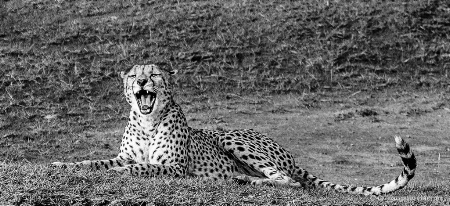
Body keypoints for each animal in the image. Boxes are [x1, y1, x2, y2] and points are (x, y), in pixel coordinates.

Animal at [51, 64, 414, 196]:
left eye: (152, 74)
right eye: (133, 75)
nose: (141, 82)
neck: (147, 121)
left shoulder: (174, 167)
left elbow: (141, 167)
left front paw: (123, 173)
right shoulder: (123, 156)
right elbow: (96, 162)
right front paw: (63, 166)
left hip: (230, 137)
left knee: (288, 181)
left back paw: (244, 180)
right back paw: (238, 178)